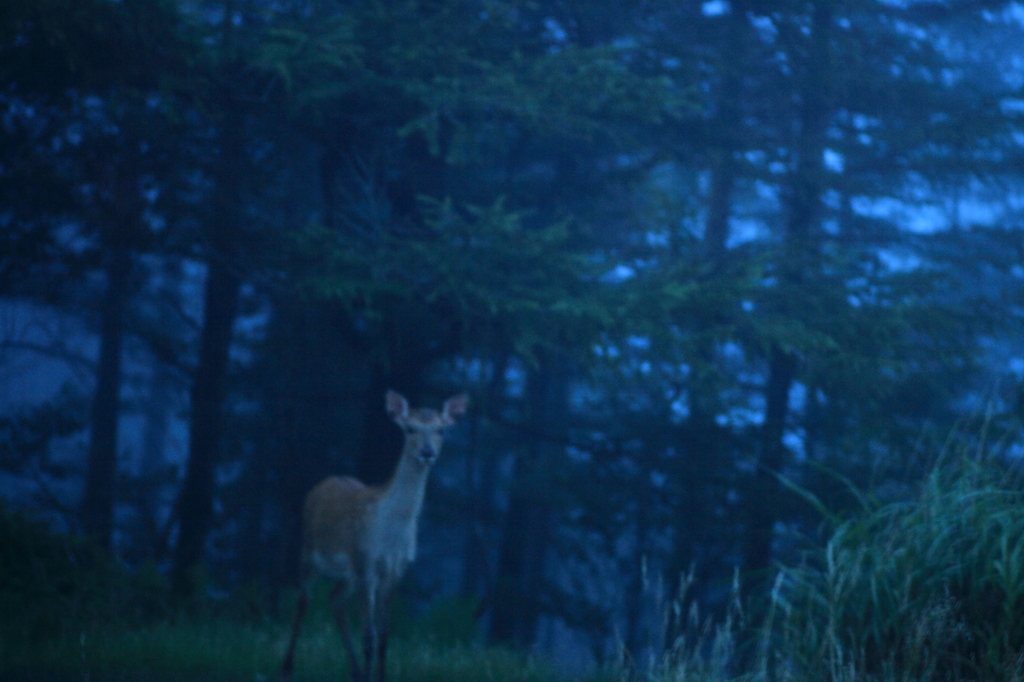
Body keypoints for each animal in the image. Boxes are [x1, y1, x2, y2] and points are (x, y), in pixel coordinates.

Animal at [282, 387, 468, 679]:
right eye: (409, 428)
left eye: (441, 430)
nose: (427, 452)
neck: (390, 534)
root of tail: (323, 483)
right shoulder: (364, 560)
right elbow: (368, 636)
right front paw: (371, 674)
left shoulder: (395, 570)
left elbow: (383, 637)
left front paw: (379, 676)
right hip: (309, 551)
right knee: (303, 601)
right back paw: (287, 665)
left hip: (346, 573)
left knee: (335, 600)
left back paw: (356, 671)